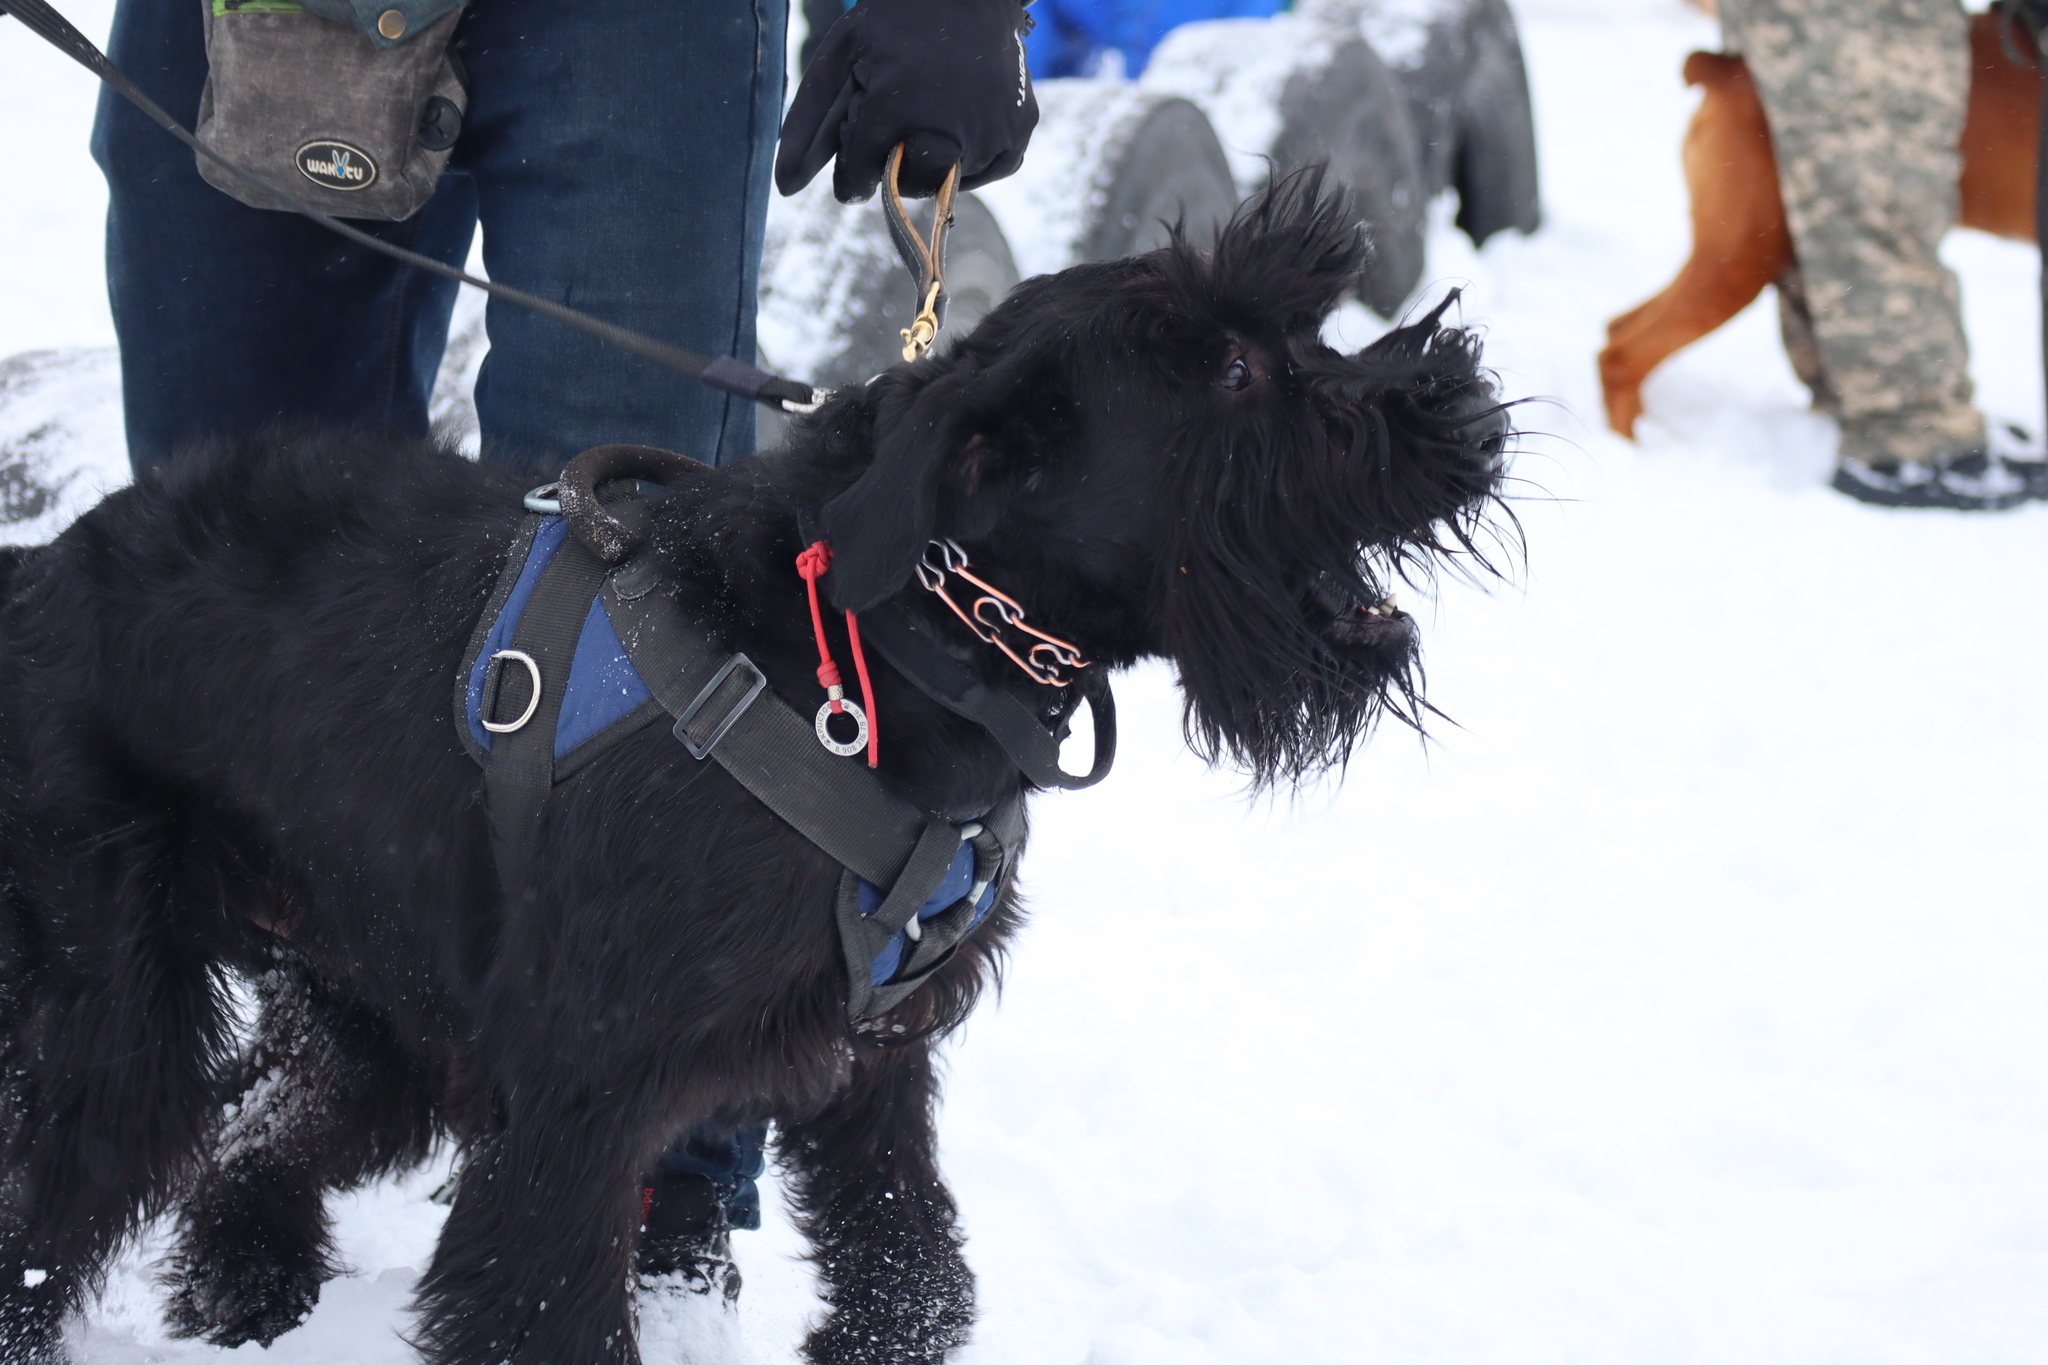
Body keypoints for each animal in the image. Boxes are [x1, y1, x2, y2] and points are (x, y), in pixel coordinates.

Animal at [0, 173, 1507, 1365]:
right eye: (1233, 373)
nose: (1460, 393)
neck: (874, 652)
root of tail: (42, 572)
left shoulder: (876, 1061)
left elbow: (910, 1266)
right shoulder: (579, 1101)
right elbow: (544, 1311)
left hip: (377, 1001)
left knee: (257, 1128)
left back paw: (250, 1289)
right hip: (118, 1006)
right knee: (61, 1195)